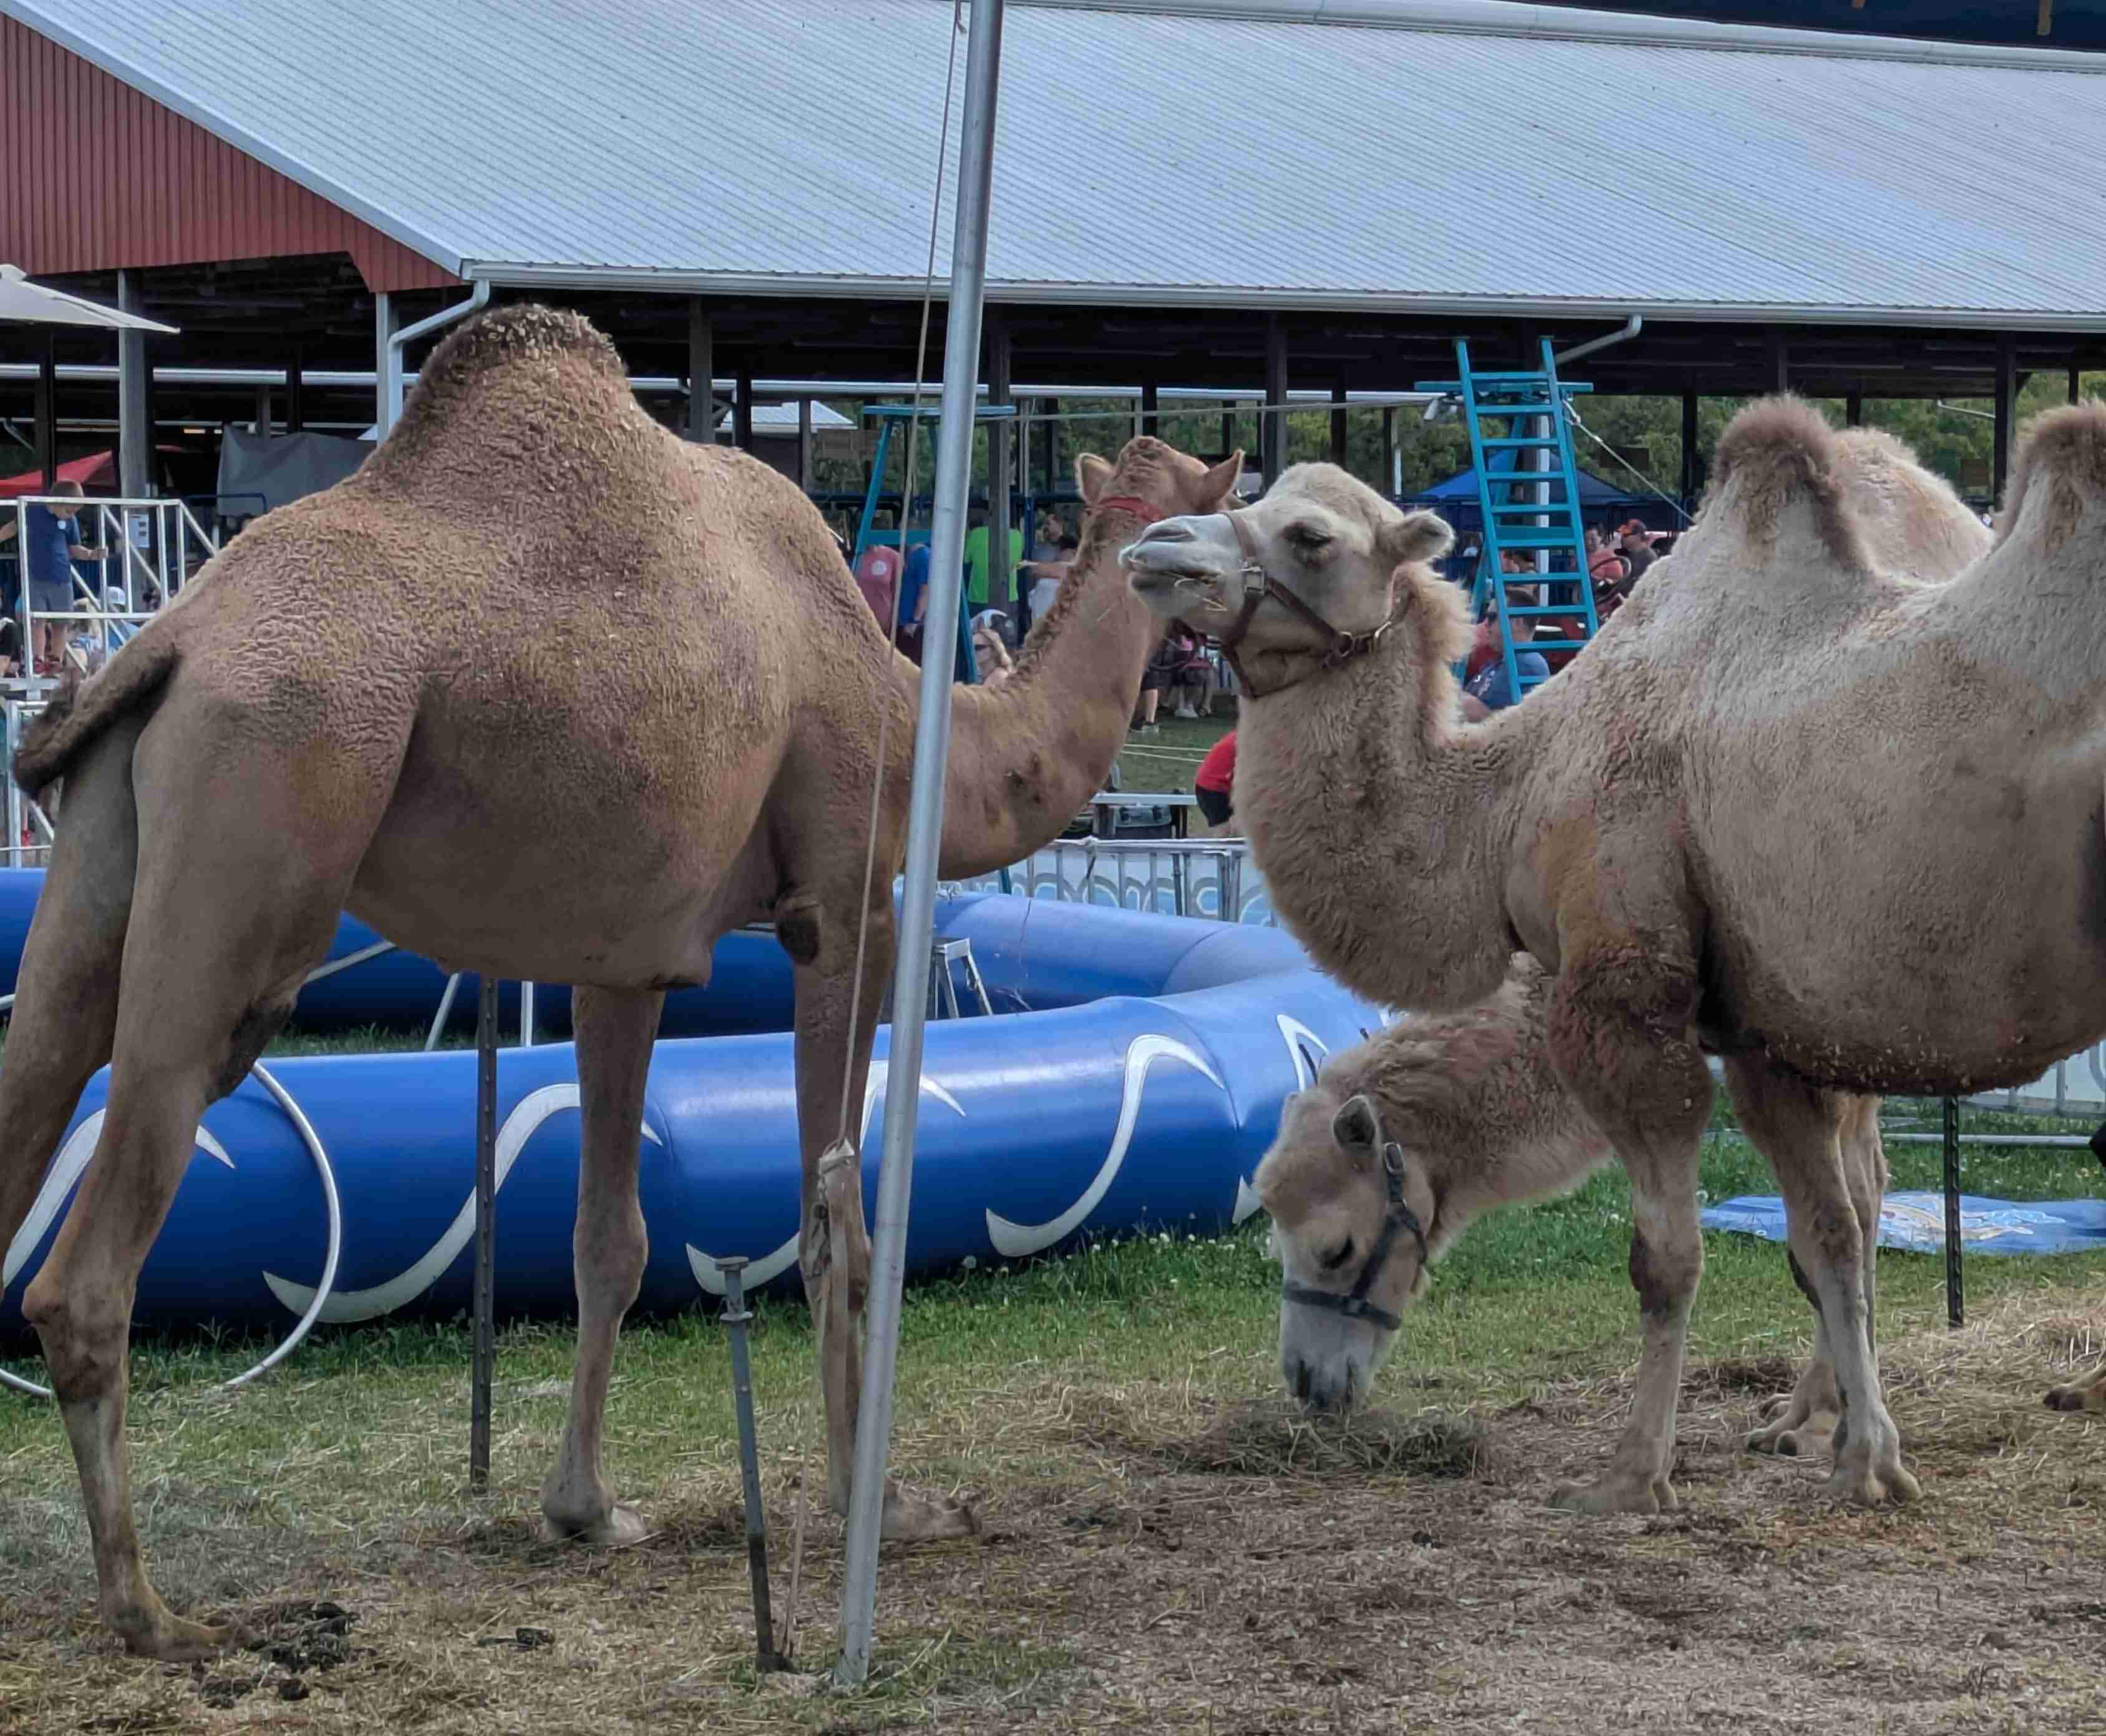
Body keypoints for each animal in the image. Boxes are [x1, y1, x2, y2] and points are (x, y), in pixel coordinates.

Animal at [0, 303, 1242, 1659]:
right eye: (1227, 503)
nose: (1180, 575)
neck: (924, 725)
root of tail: (171, 636)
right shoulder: (843, 904)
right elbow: (839, 1223)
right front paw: (882, 1499)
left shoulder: (627, 958)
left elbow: (614, 1231)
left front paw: (585, 1507)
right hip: (271, 804)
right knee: (90, 1254)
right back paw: (150, 1609)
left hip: (103, 848)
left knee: (41, 1069)